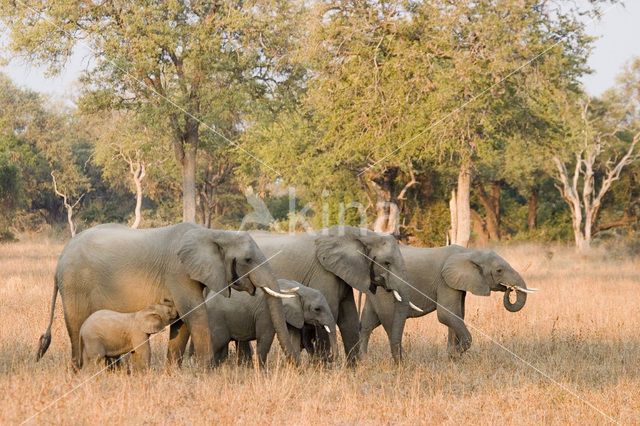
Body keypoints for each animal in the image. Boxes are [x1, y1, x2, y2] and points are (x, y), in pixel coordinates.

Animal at [36, 221, 302, 368]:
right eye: (248, 260)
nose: (298, 368)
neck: (213, 233)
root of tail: (60, 258)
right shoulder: (178, 272)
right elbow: (194, 315)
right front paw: (206, 371)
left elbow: (182, 322)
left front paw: (174, 372)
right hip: (75, 285)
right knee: (76, 327)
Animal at [200, 280, 340, 366]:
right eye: (317, 309)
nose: (328, 357)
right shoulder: (265, 312)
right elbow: (266, 337)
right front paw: (262, 374)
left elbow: (292, 337)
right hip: (217, 319)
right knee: (216, 342)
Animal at [248, 226, 418, 362]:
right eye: (387, 263)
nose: (399, 365)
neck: (360, 235)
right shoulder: (323, 273)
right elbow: (332, 314)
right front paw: (325, 368)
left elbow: (349, 319)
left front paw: (353, 370)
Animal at [360, 243, 536, 356]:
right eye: (499, 270)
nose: (509, 289)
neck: (470, 252)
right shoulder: (444, 281)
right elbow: (446, 314)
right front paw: (455, 354)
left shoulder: (457, 283)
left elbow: (457, 315)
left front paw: (452, 357)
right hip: (384, 289)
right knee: (388, 320)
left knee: (368, 323)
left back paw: (363, 361)